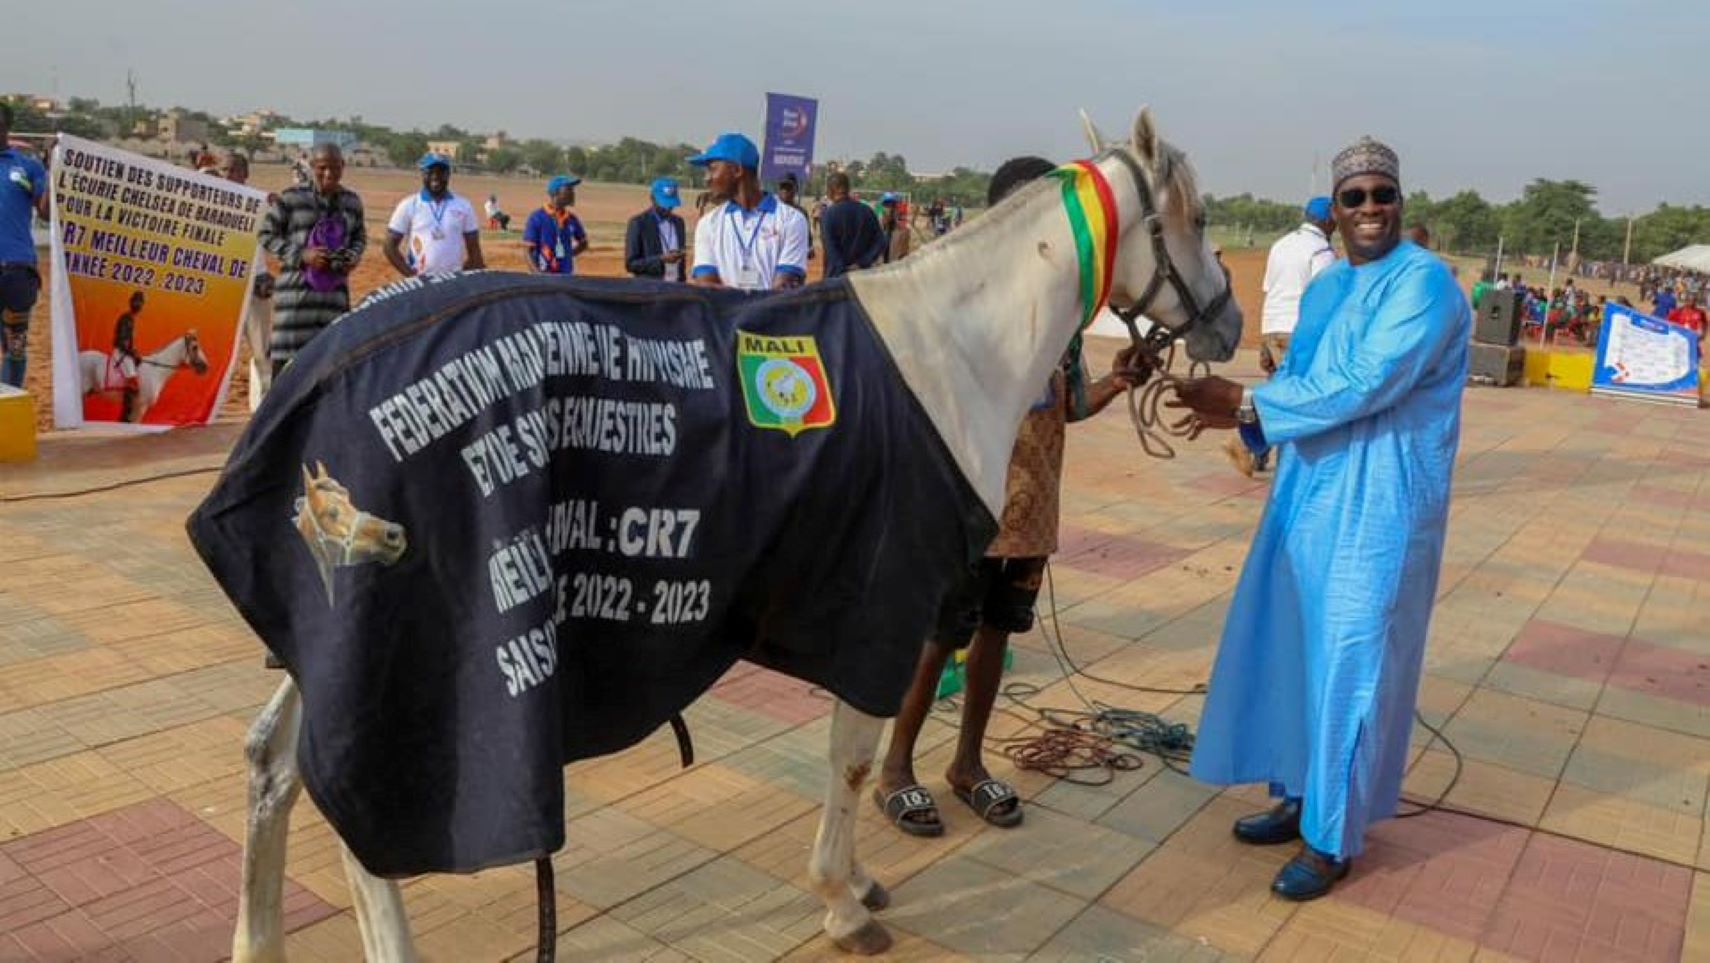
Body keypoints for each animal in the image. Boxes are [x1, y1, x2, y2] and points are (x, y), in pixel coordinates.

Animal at [224, 108, 1242, 962]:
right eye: (1193, 216)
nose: (1230, 320)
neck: (945, 356)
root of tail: (318, 369)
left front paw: (860, 879)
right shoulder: (885, 600)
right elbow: (854, 753)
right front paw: (840, 896)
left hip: (332, 633)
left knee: (275, 766)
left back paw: (256, 942)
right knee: (363, 819)